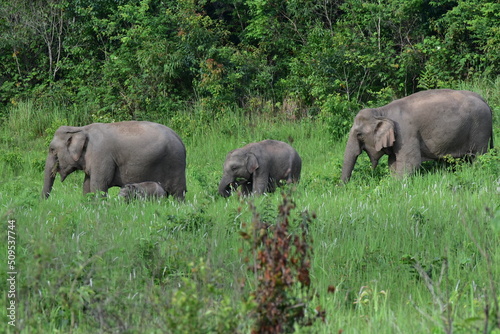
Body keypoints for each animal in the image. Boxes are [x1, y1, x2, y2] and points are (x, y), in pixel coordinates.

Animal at [43, 121, 187, 200]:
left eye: (52, 149)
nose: (44, 203)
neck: (80, 128)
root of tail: (179, 138)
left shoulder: (101, 155)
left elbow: (99, 185)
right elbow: (87, 185)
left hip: (175, 163)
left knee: (178, 193)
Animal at [340, 88, 492, 183]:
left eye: (359, 134)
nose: (343, 188)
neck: (381, 111)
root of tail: (484, 100)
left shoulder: (406, 133)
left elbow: (410, 163)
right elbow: (393, 163)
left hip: (480, 129)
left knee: (479, 156)